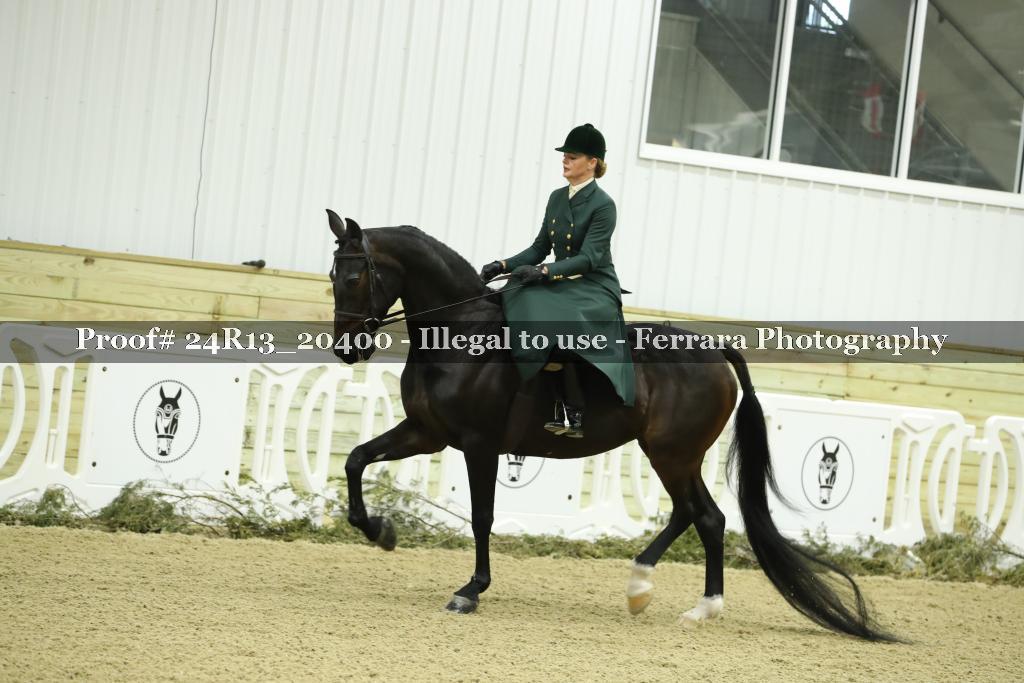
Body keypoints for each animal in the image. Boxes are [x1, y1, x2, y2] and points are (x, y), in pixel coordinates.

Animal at [325, 210, 895, 642]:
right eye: (332, 278)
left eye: (354, 277)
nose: (347, 350)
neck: (464, 334)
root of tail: (714, 349)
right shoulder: (427, 433)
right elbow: (355, 460)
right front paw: (380, 532)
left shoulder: (478, 445)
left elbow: (482, 516)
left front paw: (471, 590)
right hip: (673, 454)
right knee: (701, 516)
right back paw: (680, 602)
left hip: (671, 452)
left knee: (700, 515)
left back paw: (661, 593)